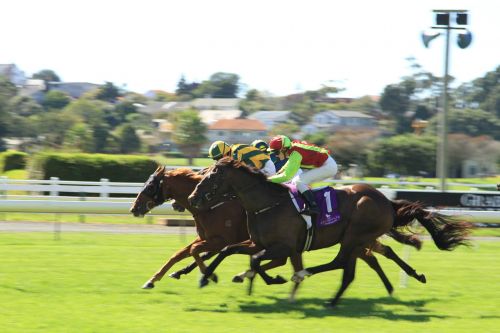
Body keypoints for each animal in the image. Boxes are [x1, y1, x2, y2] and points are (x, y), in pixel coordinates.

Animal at [130, 165, 426, 294]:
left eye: (150, 185)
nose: (135, 207)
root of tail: (385, 199)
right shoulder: (225, 240)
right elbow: (182, 254)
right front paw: (156, 278)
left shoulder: (220, 239)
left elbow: (195, 252)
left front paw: (208, 275)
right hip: (357, 239)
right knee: (376, 254)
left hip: (354, 237)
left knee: (369, 255)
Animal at [188, 158, 472, 306]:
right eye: (202, 174)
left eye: (211, 177)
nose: (193, 198)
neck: (266, 204)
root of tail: (385, 201)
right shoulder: (257, 243)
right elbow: (228, 250)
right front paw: (206, 277)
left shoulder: (283, 247)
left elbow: (257, 261)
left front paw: (275, 279)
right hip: (360, 239)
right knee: (358, 264)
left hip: (355, 236)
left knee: (342, 263)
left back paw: (305, 277)